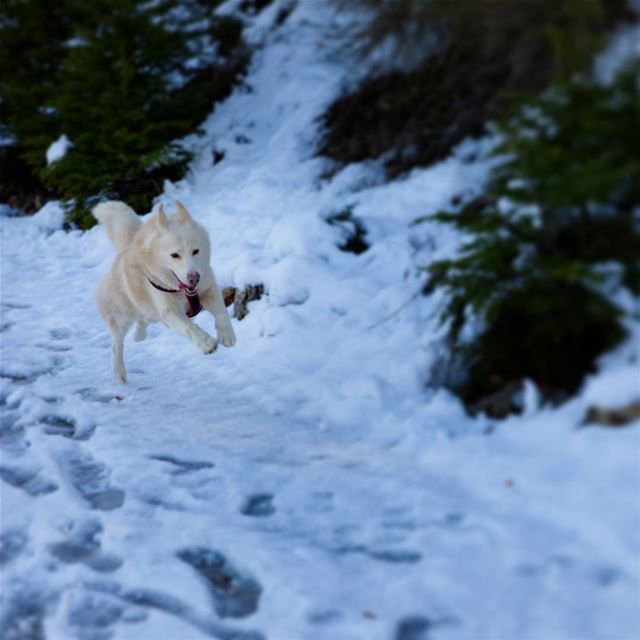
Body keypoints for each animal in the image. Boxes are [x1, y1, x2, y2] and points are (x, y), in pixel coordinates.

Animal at [94, 200, 236, 380]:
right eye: (174, 255)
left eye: (195, 251)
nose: (194, 278)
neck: (184, 292)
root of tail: (127, 247)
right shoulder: (169, 311)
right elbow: (189, 327)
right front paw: (206, 343)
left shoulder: (208, 288)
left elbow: (221, 312)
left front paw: (227, 335)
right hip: (120, 318)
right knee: (116, 345)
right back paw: (120, 373)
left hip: (150, 314)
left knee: (143, 320)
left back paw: (138, 335)